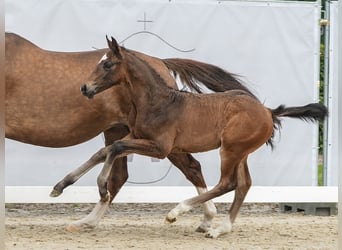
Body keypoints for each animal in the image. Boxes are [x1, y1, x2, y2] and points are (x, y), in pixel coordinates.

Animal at [5, 32, 254, 231]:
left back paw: (204, 217)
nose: (85, 88)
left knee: (191, 168)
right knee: (118, 171)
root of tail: (161, 62)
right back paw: (85, 217)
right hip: (120, 131)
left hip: (155, 142)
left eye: (107, 65)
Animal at [79, 37, 328, 238]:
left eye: (107, 64)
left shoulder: (161, 148)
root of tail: (269, 112)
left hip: (230, 150)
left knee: (228, 183)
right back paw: (221, 229)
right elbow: (107, 150)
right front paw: (68, 184)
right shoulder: (138, 137)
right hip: (241, 152)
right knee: (244, 184)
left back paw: (177, 212)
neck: (157, 102)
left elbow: (116, 147)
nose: (84, 88)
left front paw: (102, 189)